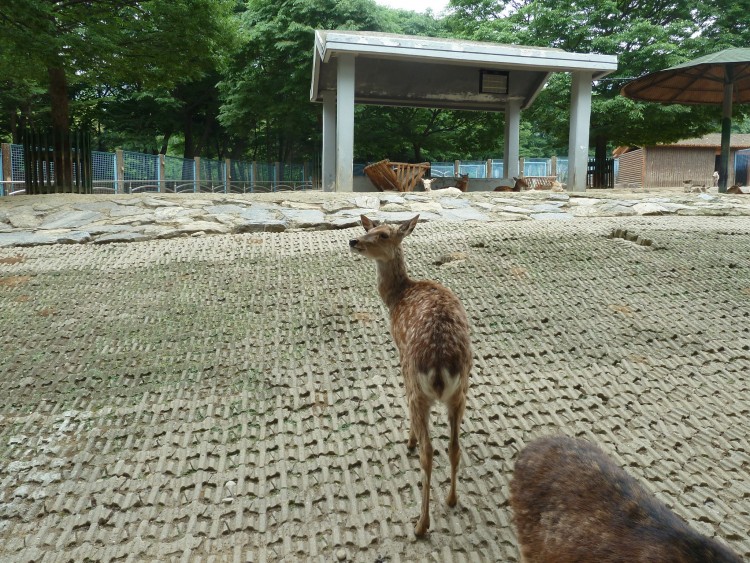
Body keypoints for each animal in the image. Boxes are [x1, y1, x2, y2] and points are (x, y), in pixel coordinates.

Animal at [352, 215, 470, 536]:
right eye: (369, 229)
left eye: (383, 235)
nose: (353, 241)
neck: (397, 297)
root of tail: (442, 366)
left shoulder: (400, 354)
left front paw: (410, 439)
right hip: (460, 392)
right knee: (454, 446)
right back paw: (452, 499)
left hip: (418, 385)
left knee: (429, 452)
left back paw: (421, 524)